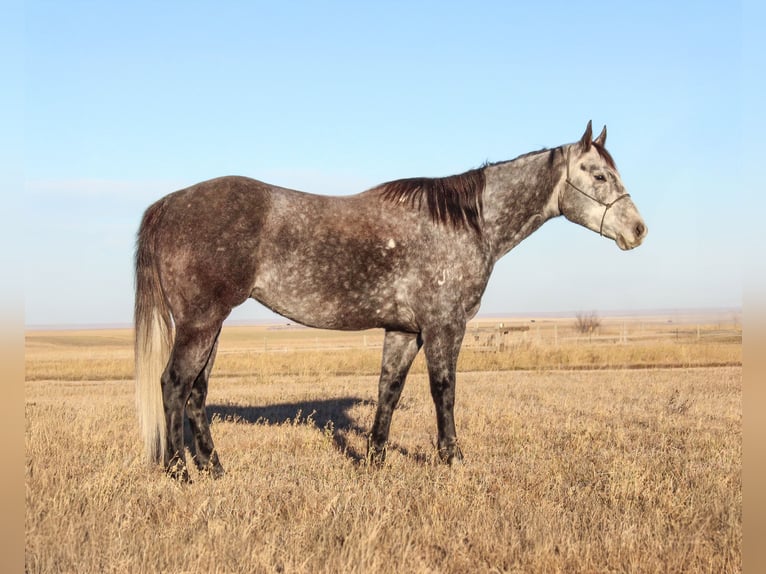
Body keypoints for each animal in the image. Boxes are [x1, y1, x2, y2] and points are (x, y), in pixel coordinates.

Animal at [134, 121, 647, 481]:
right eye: (599, 174)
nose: (638, 230)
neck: (465, 223)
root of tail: (169, 203)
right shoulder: (444, 326)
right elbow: (444, 390)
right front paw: (452, 459)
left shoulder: (404, 331)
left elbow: (389, 392)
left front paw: (375, 461)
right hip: (200, 323)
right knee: (174, 385)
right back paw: (180, 472)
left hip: (211, 326)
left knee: (197, 394)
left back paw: (215, 468)